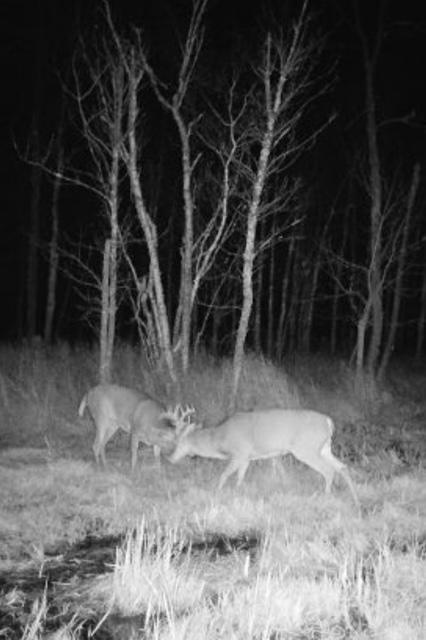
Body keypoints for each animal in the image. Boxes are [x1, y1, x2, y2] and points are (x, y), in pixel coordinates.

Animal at [169, 409, 359, 507]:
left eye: (180, 442)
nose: (170, 458)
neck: (220, 439)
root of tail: (328, 422)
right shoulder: (246, 458)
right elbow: (240, 477)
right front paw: (238, 492)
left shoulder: (240, 452)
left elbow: (224, 475)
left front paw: (217, 492)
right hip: (324, 448)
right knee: (342, 467)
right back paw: (354, 496)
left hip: (306, 448)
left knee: (328, 471)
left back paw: (323, 497)